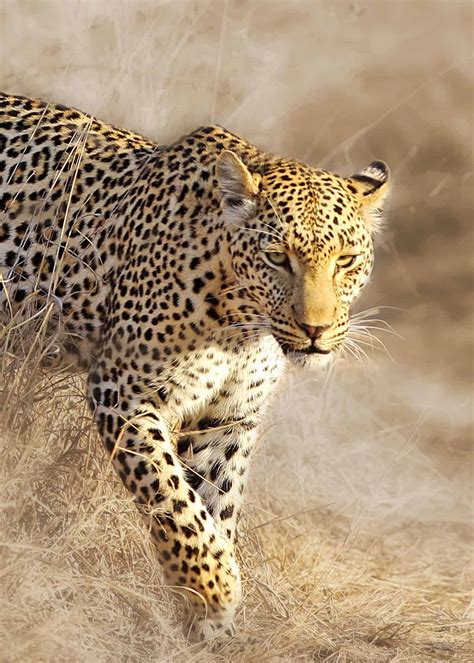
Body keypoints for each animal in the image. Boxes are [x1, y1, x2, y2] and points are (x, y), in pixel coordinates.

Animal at [0, 92, 391, 639]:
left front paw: (210, 626)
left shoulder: (227, 420)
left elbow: (214, 505)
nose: (315, 329)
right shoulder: (124, 391)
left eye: (346, 260)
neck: (241, 326)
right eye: (277, 257)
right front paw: (216, 589)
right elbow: (173, 499)